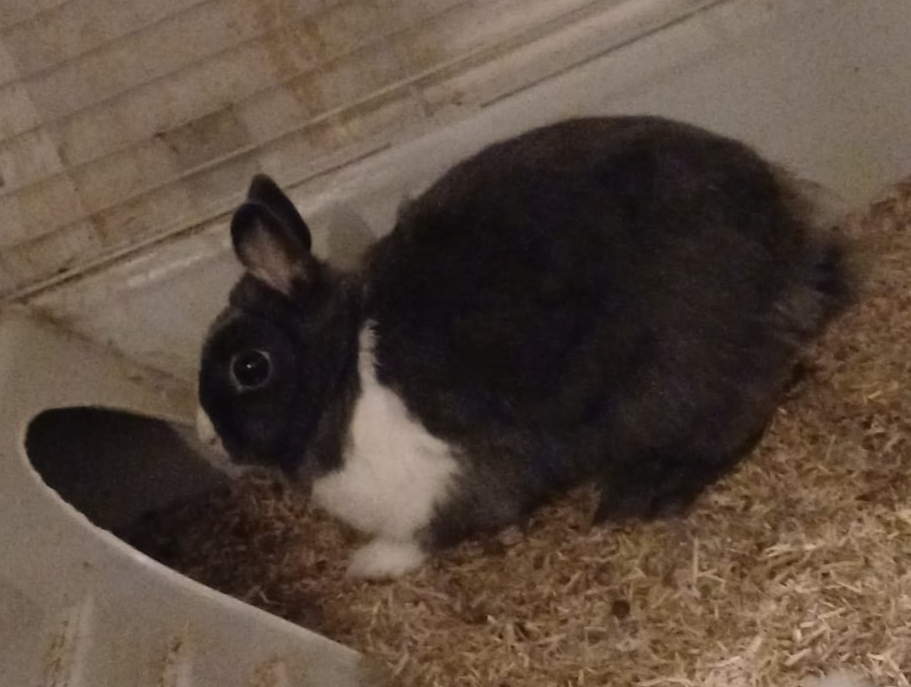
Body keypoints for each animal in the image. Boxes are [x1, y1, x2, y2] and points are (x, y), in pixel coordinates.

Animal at [196, 115, 854, 579]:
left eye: (249, 367)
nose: (210, 440)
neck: (342, 371)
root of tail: (791, 254)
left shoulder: (446, 484)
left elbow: (428, 535)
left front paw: (367, 565)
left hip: (671, 386)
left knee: (735, 421)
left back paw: (641, 494)